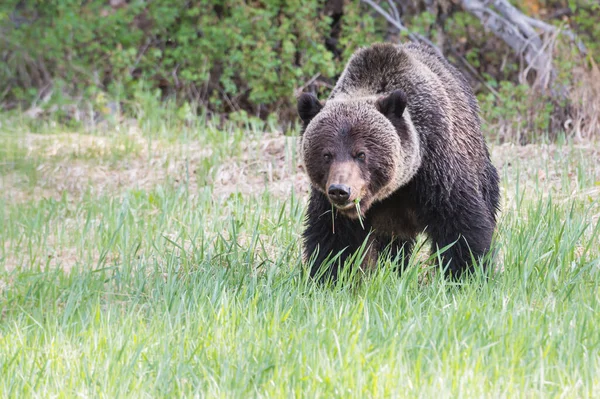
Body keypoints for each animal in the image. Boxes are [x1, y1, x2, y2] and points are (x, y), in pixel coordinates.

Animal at [298, 42, 500, 282]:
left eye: (361, 154)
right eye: (327, 155)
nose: (340, 190)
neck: (393, 190)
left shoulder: (436, 172)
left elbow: (460, 226)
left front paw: (465, 274)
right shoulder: (330, 204)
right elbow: (333, 239)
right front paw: (329, 276)